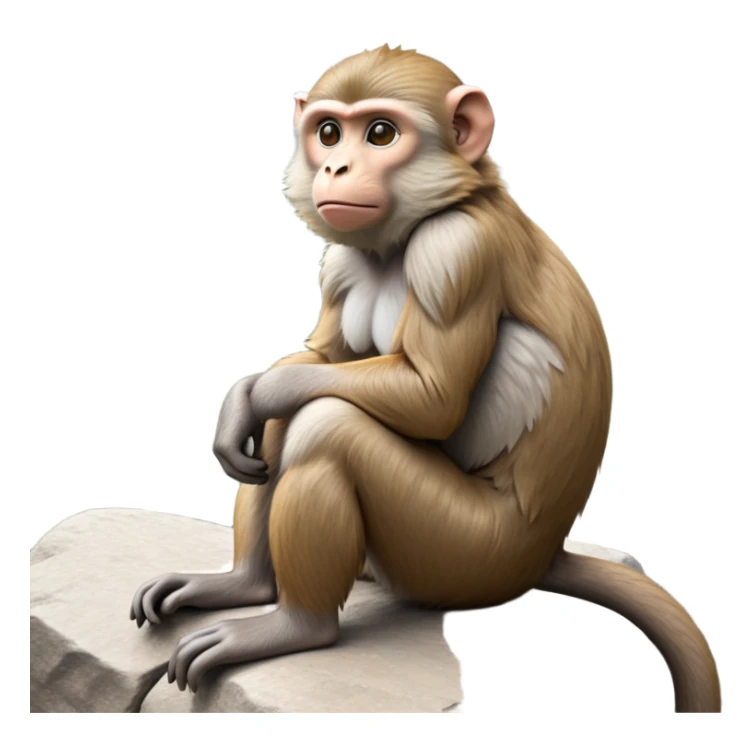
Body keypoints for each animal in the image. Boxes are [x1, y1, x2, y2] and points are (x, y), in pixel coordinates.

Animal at [130, 45, 720, 712]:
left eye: (381, 134)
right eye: (328, 132)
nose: (334, 166)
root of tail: (544, 556)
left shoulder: (455, 252)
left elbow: (430, 398)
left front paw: (259, 392)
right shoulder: (343, 259)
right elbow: (321, 359)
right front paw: (239, 399)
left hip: (465, 552)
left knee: (328, 425)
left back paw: (299, 625)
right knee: (302, 416)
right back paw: (247, 584)